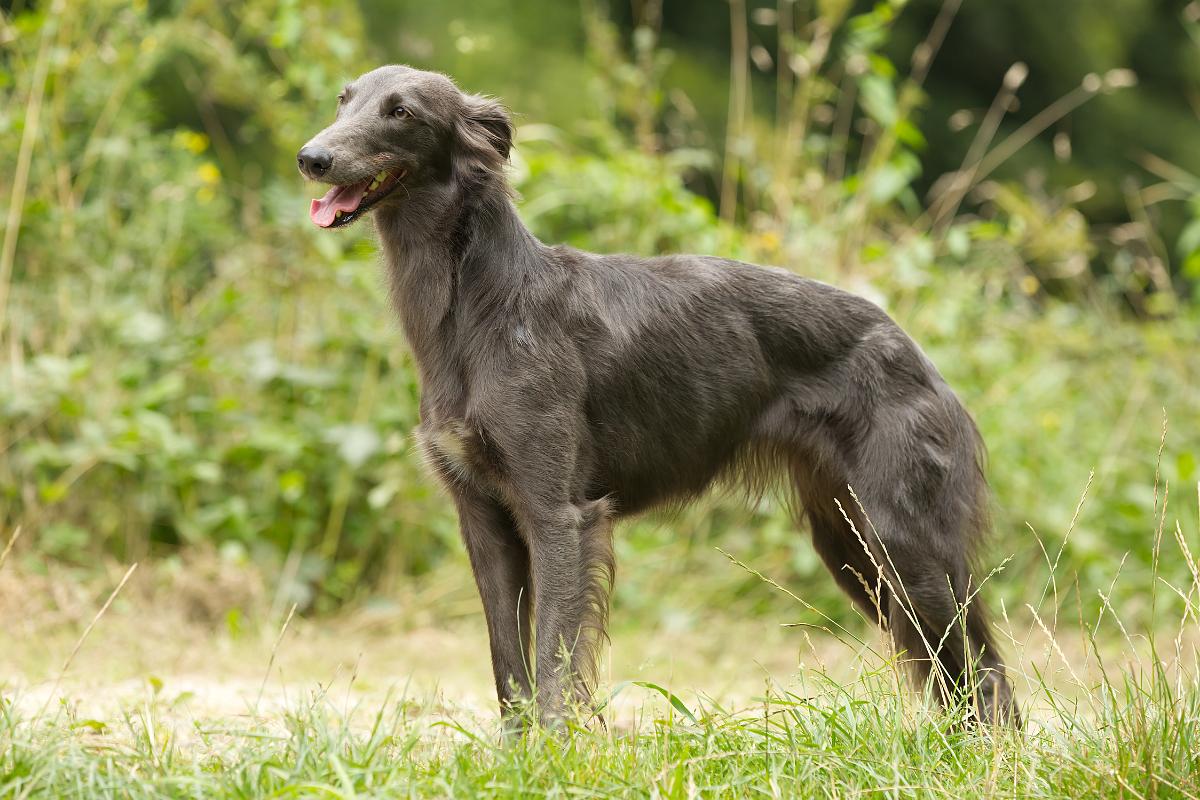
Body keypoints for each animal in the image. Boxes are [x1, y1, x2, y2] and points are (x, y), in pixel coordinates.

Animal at [298, 65, 1019, 728]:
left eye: (402, 112)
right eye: (344, 100)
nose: (312, 158)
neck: (480, 303)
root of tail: (916, 352)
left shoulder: (560, 516)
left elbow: (555, 661)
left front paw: (552, 757)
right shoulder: (484, 521)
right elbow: (511, 670)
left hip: (904, 544)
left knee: (985, 675)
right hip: (852, 544)